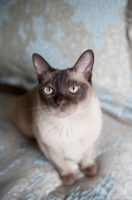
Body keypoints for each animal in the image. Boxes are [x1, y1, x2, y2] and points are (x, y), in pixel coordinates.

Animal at [15, 49, 102, 184]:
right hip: (28, 129)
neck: (68, 125)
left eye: (73, 88)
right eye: (48, 90)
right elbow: (62, 164)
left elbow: (86, 156)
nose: (60, 103)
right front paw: (69, 178)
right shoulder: (50, 150)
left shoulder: (89, 143)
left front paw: (89, 169)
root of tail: (27, 91)